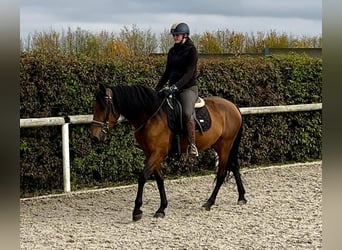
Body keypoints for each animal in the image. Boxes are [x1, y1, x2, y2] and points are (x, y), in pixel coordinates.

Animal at [91, 83, 246, 221]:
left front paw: (137, 211)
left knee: (221, 174)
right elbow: (159, 178)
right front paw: (161, 208)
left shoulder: (158, 152)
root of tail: (233, 106)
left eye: (104, 107)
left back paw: (209, 202)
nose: (94, 137)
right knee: (234, 167)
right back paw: (241, 197)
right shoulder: (150, 153)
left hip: (225, 146)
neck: (151, 115)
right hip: (220, 146)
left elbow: (143, 177)